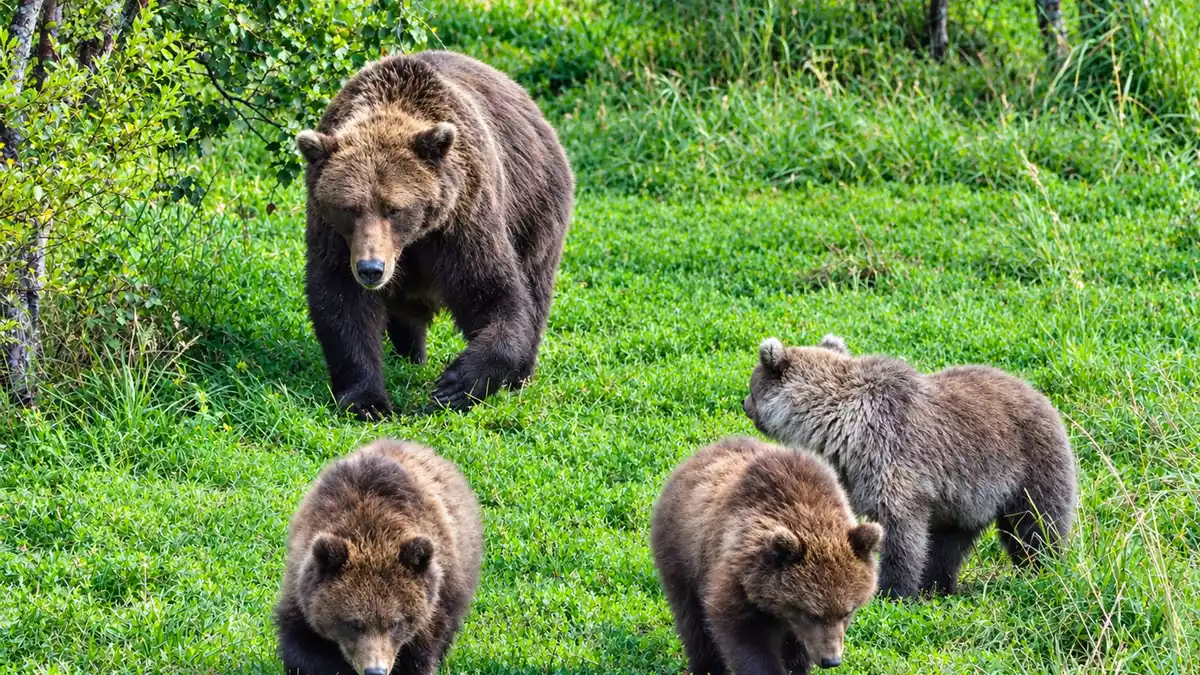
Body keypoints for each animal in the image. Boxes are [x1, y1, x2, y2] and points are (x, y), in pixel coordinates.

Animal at [275, 439, 483, 675]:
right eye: (354, 624)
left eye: (395, 622)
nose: (375, 670)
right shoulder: (301, 585)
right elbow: (303, 650)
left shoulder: (433, 607)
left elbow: (420, 655)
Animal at [296, 50, 574, 418]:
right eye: (349, 208)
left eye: (394, 208)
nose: (371, 269)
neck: (412, 241)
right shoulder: (335, 238)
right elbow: (341, 303)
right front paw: (367, 401)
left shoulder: (462, 221)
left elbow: (495, 294)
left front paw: (455, 385)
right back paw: (410, 353)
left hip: (535, 206)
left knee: (536, 284)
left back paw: (520, 375)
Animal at [651, 436, 883, 675]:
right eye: (811, 614)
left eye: (847, 612)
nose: (831, 660)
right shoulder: (738, 576)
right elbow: (744, 637)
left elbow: (796, 650)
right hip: (682, 552)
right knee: (692, 619)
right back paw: (706, 666)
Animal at [743, 335, 1078, 599]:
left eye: (751, 384)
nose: (745, 404)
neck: (841, 425)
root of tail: (1043, 397)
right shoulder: (854, 471)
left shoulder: (892, 456)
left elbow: (900, 531)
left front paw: (891, 591)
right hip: (963, 502)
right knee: (947, 543)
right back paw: (938, 586)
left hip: (1028, 464)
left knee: (1036, 524)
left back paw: (1041, 569)